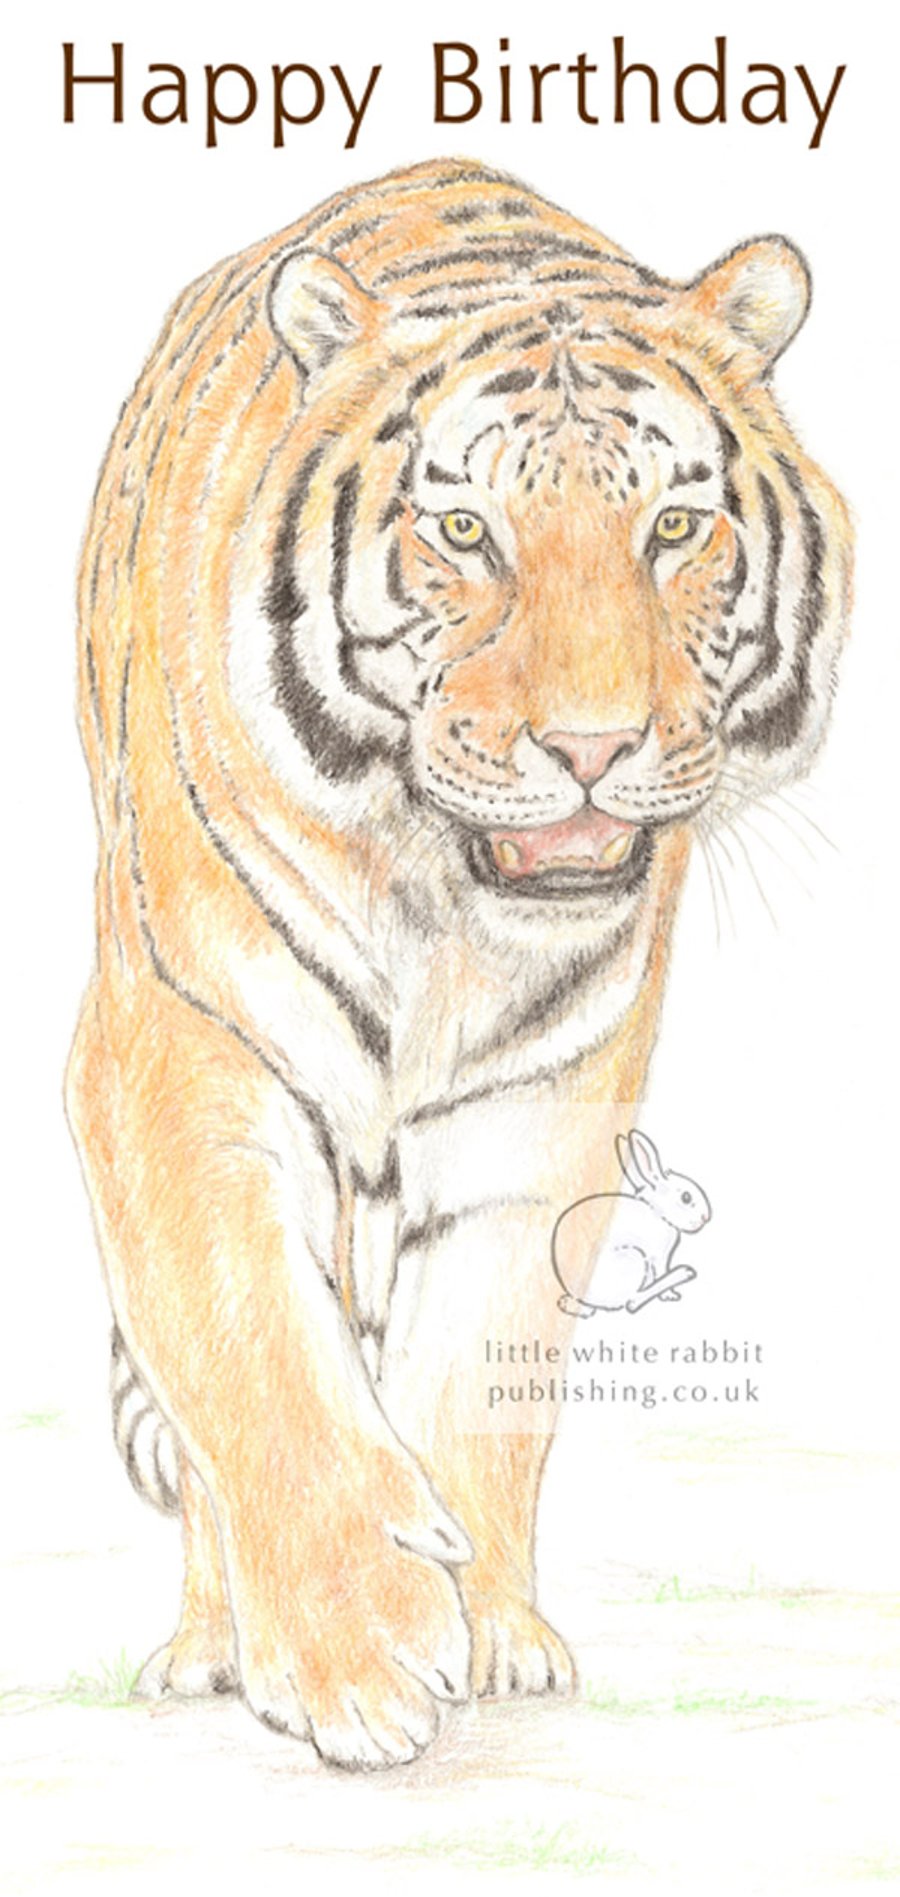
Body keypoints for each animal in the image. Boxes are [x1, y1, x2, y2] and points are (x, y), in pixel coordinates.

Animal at [66, 155, 852, 1769]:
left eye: (675, 530)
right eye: (469, 533)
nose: (593, 749)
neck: (437, 900)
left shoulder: (546, 1097)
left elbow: (483, 1366)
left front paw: (487, 1633)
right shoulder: (177, 1052)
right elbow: (254, 1353)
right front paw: (354, 1660)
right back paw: (207, 1647)